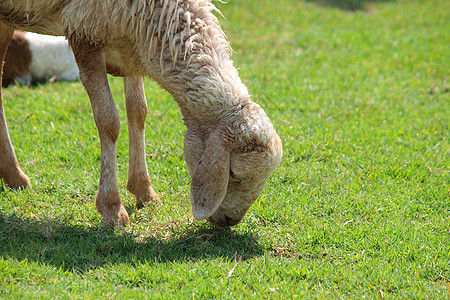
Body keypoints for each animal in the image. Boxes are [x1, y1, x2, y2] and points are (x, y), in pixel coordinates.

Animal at [0, 0, 282, 225]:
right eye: (233, 173)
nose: (229, 222)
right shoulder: (85, 29)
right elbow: (109, 121)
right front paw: (112, 208)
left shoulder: (133, 43)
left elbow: (138, 111)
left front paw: (144, 191)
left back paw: (14, 177)